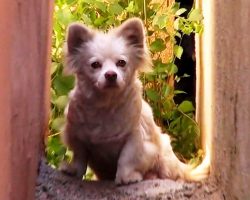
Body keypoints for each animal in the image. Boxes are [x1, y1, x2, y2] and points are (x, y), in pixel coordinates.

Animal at [60, 17, 209, 184]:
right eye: (95, 65)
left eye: (121, 63)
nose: (111, 74)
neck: (106, 104)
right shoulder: (78, 138)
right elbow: (79, 159)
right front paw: (73, 172)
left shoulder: (135, 138)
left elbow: (126, 159)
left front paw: (126, 178)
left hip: (165, 160)